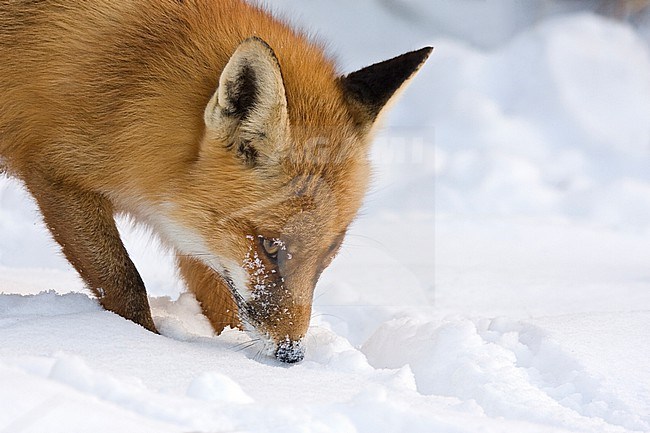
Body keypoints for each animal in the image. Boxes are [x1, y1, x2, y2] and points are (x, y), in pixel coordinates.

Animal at [0, 0, 430, 362]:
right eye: (270, 246)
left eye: (330, 252)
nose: (291, 355)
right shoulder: (58, 176)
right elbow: (125, 284)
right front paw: (141, 344)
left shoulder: (196, 229)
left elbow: (224, 302)